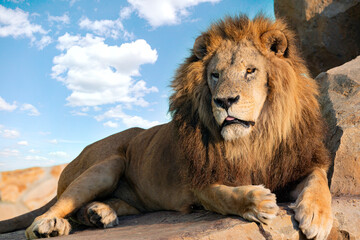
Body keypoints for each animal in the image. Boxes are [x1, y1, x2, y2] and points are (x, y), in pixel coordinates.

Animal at [0, 15, 334, 239]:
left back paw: (98, 214)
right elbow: (224, 195)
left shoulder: (293, 162)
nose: (224, 101)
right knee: (54, 209)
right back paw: (49, 226)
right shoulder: (198, 184)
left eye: (250, 71)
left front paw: (316, 216)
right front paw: (259, 201)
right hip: (108, 163)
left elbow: (319, 179)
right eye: (215, 75)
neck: (255, 137)